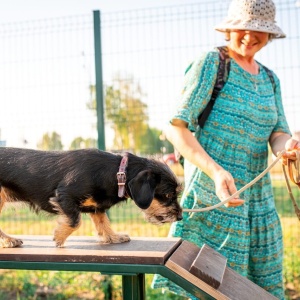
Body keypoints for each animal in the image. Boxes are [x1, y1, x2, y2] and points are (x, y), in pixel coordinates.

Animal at [0, 148, 183, 248]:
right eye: (168, 195)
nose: (180, 216)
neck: (117, 172)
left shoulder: (97, 207)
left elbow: (103, 222)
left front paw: (113, 237)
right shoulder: (64, 196)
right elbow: (76, 221)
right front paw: (59, 236)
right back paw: (9, 240)